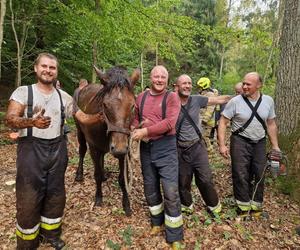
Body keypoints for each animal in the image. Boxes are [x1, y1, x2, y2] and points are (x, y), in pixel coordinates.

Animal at [74, 65, 139, 216]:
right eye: (104, 105)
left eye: (133, 106)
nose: (118, 148)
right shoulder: (94, 148)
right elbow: (96, 174)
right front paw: (98, 198)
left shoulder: (124, 151)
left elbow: (123, 179)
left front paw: (126, 204)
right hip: (80, 131)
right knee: (82, 151)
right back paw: (79, 174)